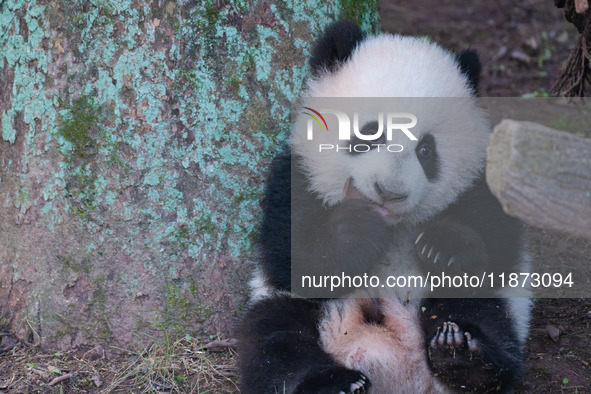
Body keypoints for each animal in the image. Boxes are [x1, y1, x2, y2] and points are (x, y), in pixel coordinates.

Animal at [239, 22, 532, 394]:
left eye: (426, 150)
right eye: (370, 133)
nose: (389, 192)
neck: (394, 224)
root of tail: (399, 372)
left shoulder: (478, 182)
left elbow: (497, 244)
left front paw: (442, 245)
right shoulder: (296, 177)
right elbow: (294, 257)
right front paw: (356, 230)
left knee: (480, 314)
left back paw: (462, 356)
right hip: (300, 315)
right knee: (276, 340)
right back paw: (336, 383)